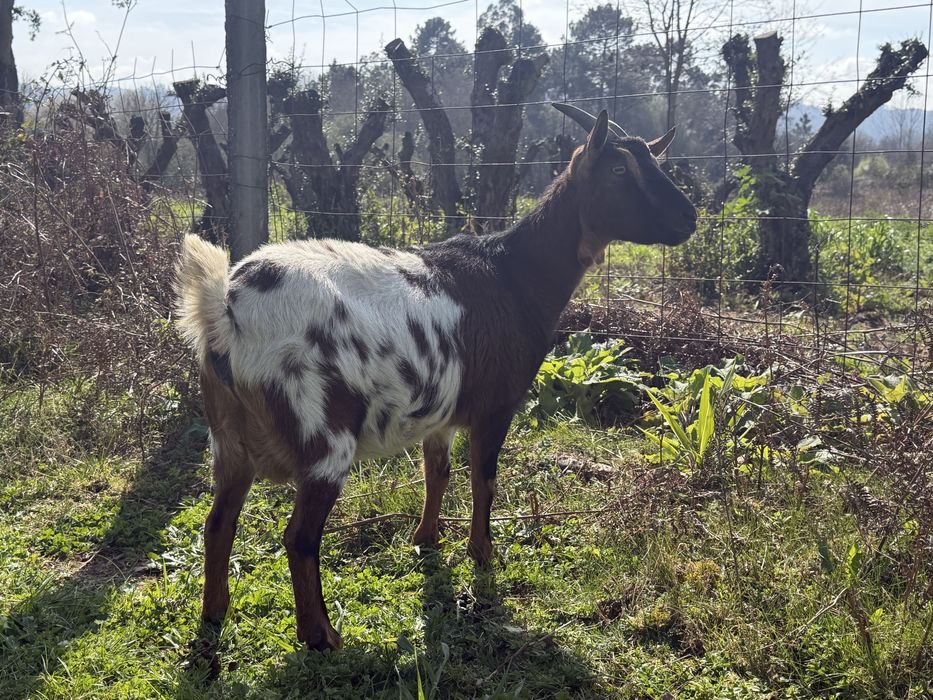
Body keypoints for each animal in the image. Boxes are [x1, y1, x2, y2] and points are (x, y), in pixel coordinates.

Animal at [175, 105, 697, 651]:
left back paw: (214, 614)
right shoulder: (496, 405)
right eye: (618, 170)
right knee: (299, 537)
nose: (690, 218)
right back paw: (321, 635)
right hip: (322, 435)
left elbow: (438, 472)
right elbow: (484, 480)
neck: (514, 275)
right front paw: (482, 553)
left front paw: (426, 539)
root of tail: (224, 310)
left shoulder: (441, 412)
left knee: (217, 523)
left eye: (653, 162)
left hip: (228, 439)